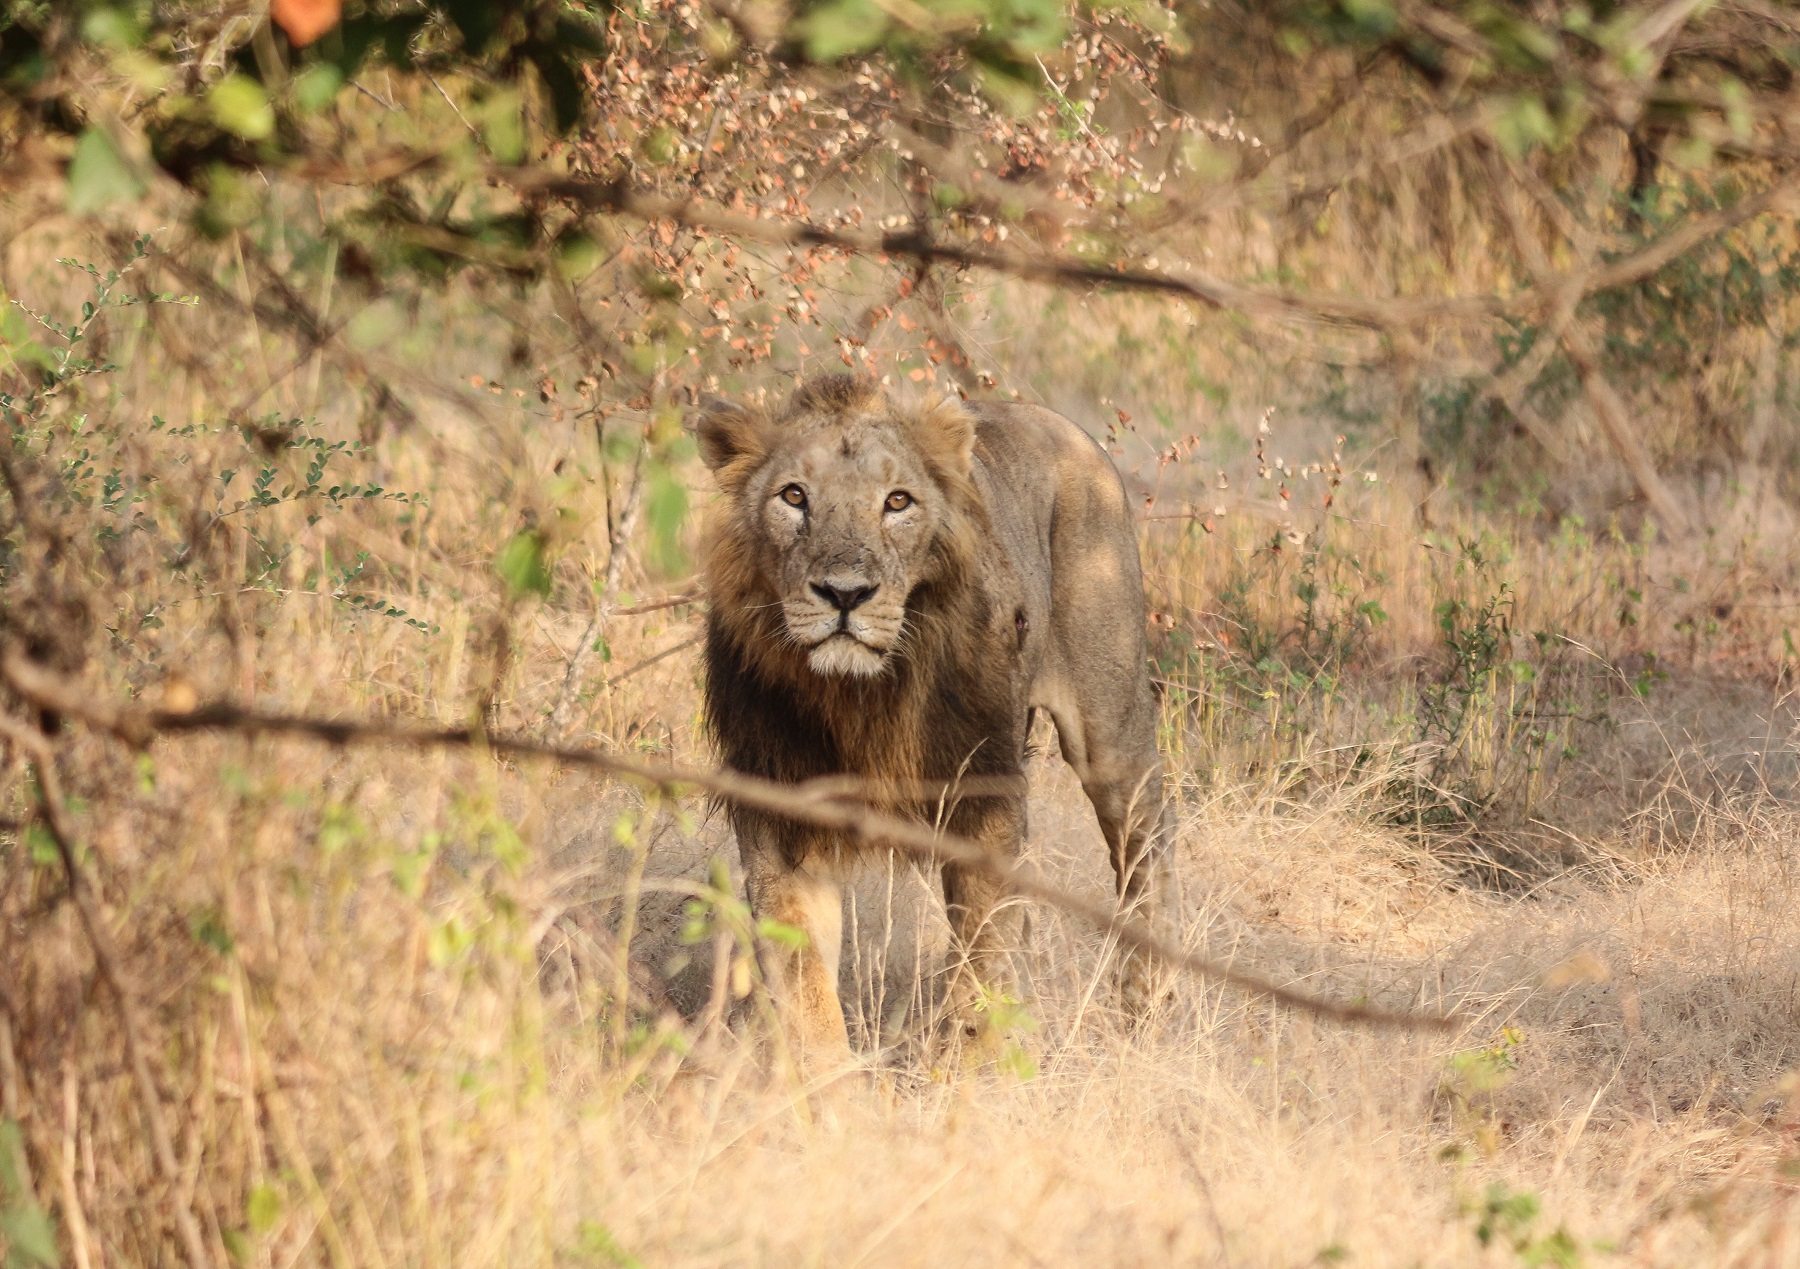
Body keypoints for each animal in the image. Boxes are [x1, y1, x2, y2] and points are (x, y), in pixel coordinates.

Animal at [694, 370, 1173, 1065]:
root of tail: (1061, 423)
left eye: (897, 502)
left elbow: (979, 962)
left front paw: (967, 1074)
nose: (844, 594)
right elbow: (806, 987)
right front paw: (828, 1087)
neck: (860, 695)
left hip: (1112, 730)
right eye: (793, 496)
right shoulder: (783, 815)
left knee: (1144, 850)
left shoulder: (983, 800)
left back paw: (1146, 1003)